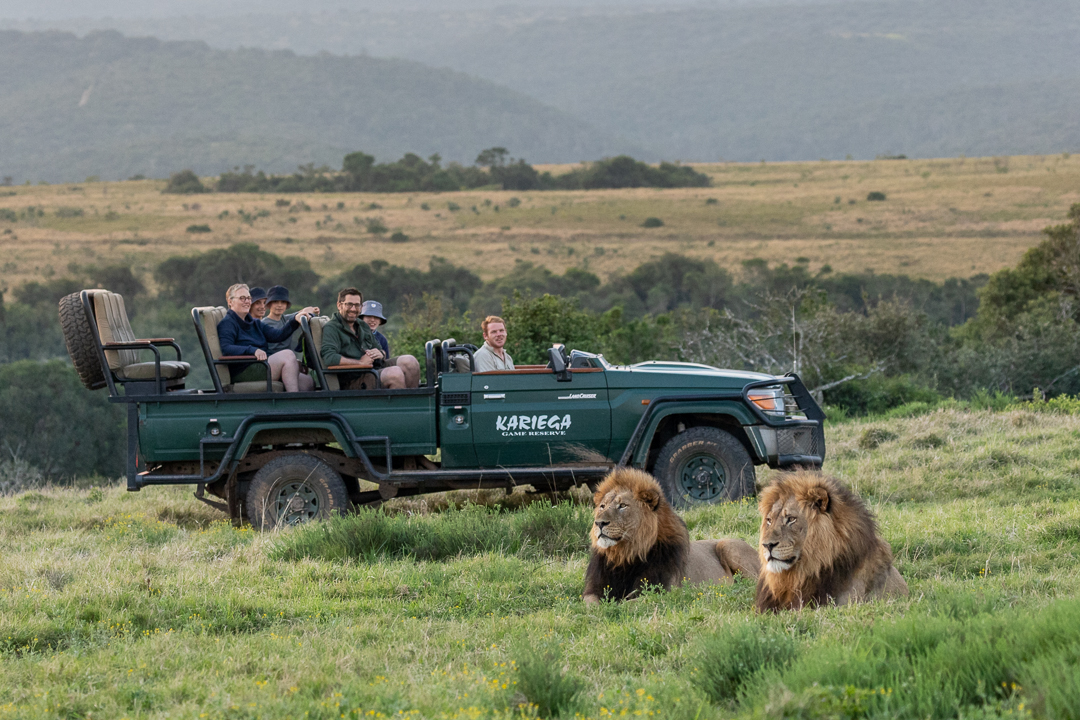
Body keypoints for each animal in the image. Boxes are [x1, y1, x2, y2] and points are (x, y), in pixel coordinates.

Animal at [583, 468, 760, 604]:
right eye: (602, 506)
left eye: (622, 506)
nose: (599, 523)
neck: (625, 557)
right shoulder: (592, 591)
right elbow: (592, 604)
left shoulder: (662, 593)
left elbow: (624, 604)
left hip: (727, 546)